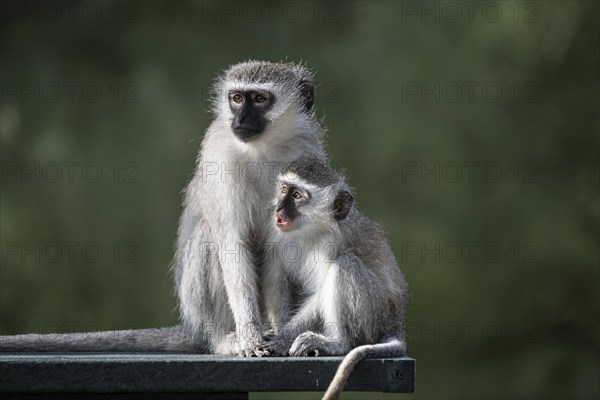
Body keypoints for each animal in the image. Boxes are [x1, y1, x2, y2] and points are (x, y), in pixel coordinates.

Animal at [0, 59, 326, 354]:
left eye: (259, 99)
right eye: (236, 98)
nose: (240, 120)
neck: (263, 148)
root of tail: (193, 328)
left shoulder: (305, 150)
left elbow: (278, 246)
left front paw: (281, 330)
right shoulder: (220, 154)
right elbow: (231, 244)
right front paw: (250, 337)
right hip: (197, 309)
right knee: (208, 238)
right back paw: (222, 340)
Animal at [258, 158, 408, 398]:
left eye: (297, 196)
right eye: (283, 190)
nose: (278, 208)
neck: (311, 230)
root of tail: (397, 320)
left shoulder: (332, 243)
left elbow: (320, 294)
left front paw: (282, 340)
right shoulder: (275, 232)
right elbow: (277, 278)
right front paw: (277, 330)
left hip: (375, 316)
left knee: (344, 265)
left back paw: (338, 343)